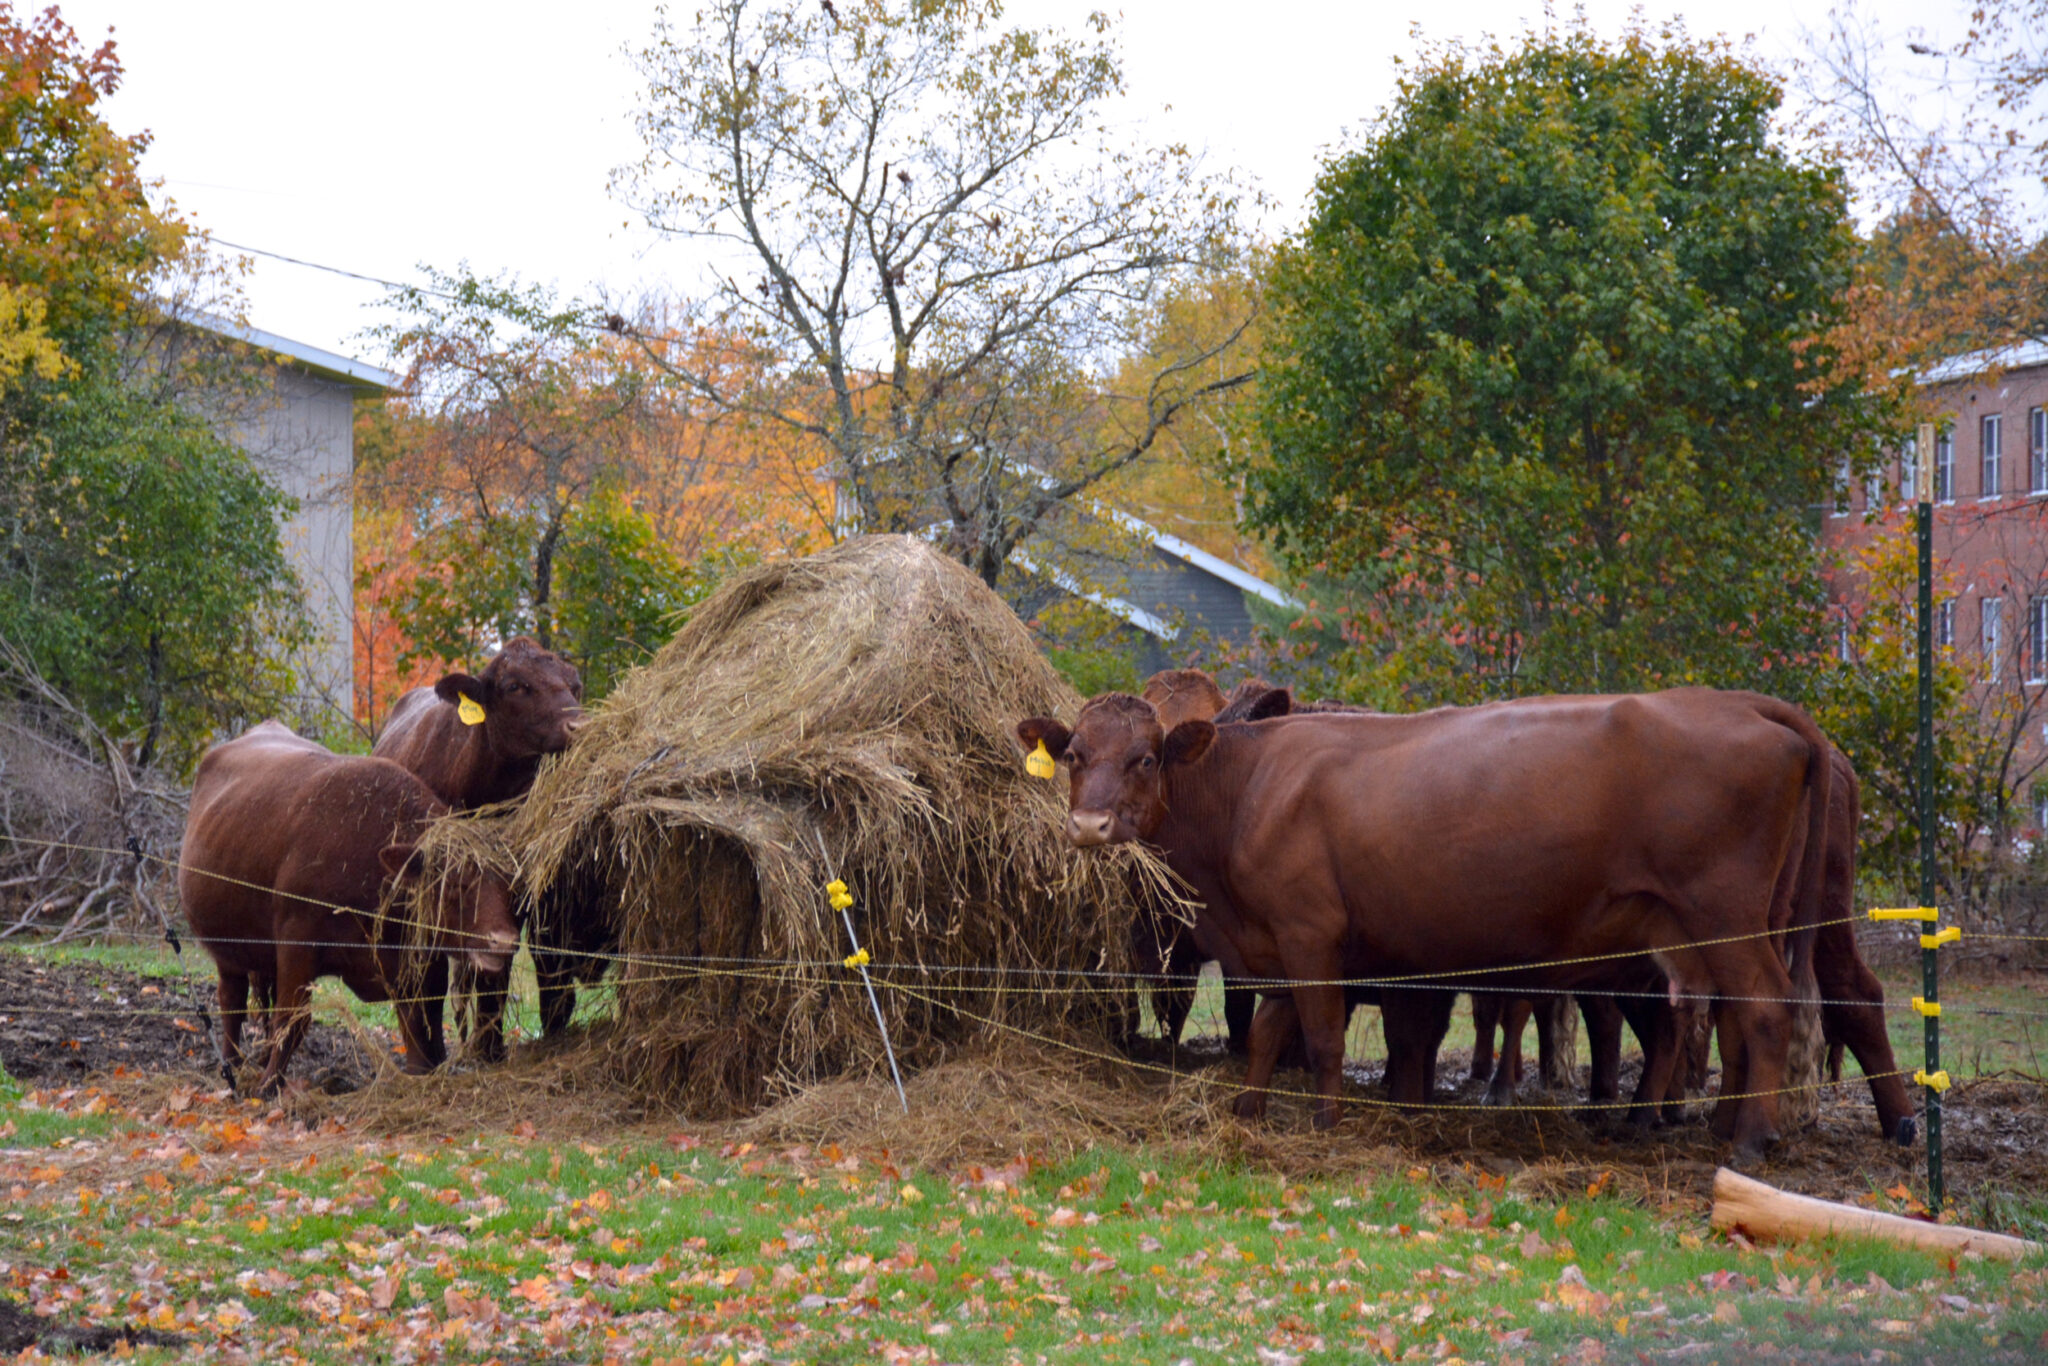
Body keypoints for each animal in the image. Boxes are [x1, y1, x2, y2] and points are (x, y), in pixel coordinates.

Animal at [179, 722, 520, 1096]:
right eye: (455, 883)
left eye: (511, 885)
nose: (504, 940)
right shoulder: (298, 946)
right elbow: (293, 1019)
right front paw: (268, 1086)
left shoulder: (420, 965)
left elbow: (422, 1027)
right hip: (228, 952)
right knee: (232, 1004)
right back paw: (233, 1066)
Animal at [1017, 688, 1830, 1159]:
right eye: (1075, 755)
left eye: (1146, 758)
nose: (1088, 826)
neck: (1249, 789)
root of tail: (1746, 707)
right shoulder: (1274, 940)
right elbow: (1270, 1031)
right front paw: (1248, 1111)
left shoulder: (1311, 933)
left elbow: (1318, 1035)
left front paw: (1326, 1124)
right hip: (1721, 926)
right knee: (1732, 1018)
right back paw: (1731, 1125)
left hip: (1722, 910)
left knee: (1764, 1007)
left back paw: (1749, 1142)